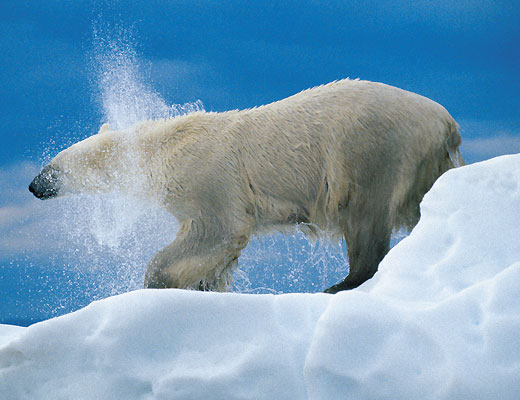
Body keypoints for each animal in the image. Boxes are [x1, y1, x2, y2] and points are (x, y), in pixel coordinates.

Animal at [28, 79, 464, 292]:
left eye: (54, 167)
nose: (33, 186)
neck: (160, 148)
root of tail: (445, 121)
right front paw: (204, 285)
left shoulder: (206, 179)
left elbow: (215, 231)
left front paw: (158, 282)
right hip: (426, 163)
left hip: (369, 149)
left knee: (365, 218)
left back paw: (341, 284)